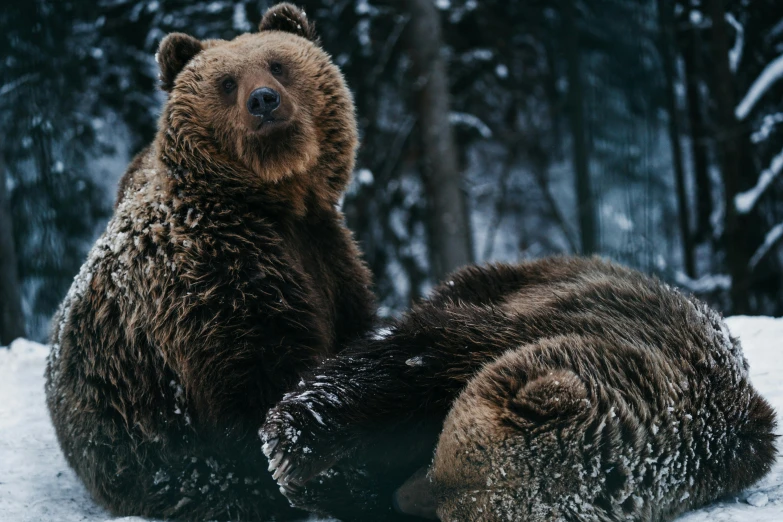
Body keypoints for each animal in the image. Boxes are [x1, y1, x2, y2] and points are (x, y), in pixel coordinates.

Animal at [43, 3, 376, 516]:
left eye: (278, 64)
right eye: (226, 82)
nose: (264, 100)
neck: (277, 201)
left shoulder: (326, 252)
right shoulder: (211, 275)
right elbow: (256, 376)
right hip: (142, 452)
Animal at [262, 256, 776, 520]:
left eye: (453, 511)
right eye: (442, 456)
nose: (402, 499)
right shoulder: (552, 323)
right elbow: (415, 362)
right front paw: (293, 443)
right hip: (514, 278)